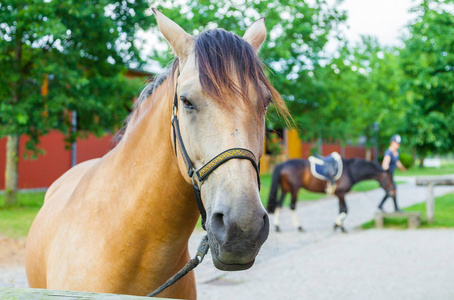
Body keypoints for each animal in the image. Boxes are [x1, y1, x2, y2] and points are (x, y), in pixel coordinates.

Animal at [266, 157, 394, 232]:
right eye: (389, 179)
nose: (393, 192)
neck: (350, 170)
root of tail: (283, 164)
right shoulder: (341, 194)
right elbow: (345, 209)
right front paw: (340, 225)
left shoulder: (338, 194)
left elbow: (341, 210)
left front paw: (337, 225)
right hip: (294, 190)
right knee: (292, 206)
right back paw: (299, 227)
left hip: (285, 190)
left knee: (279, 205)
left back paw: (277, 226)